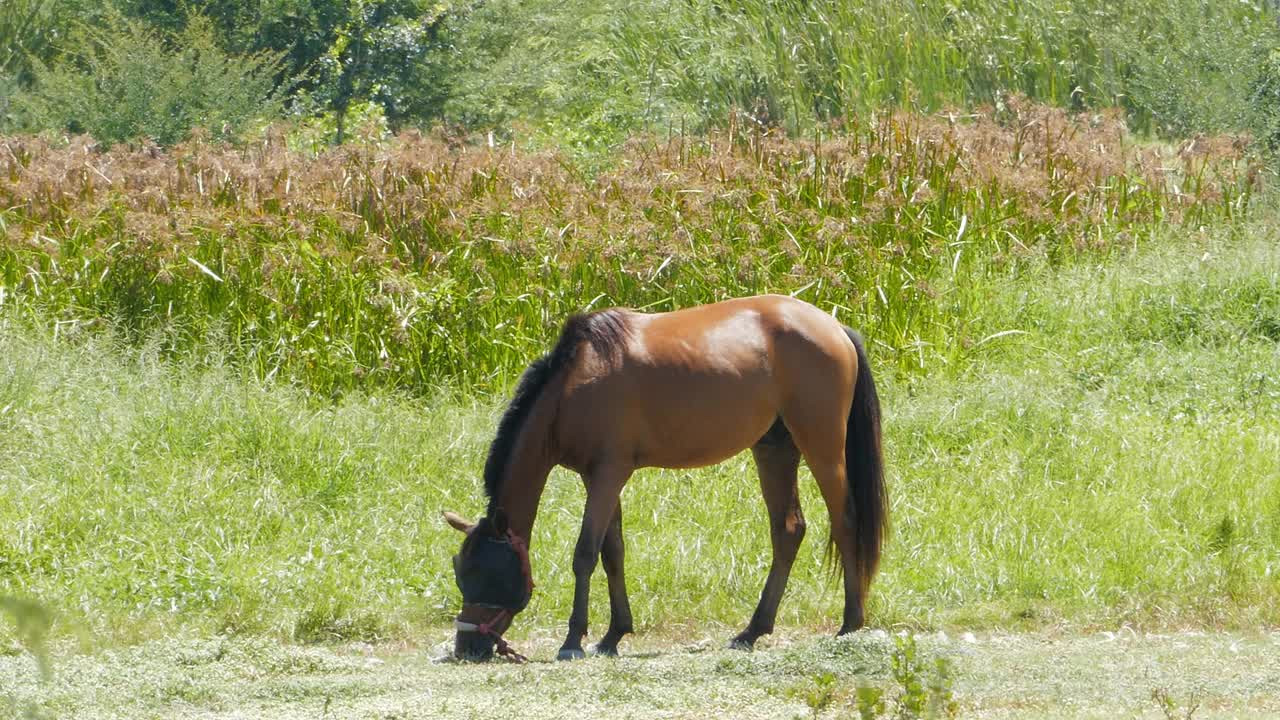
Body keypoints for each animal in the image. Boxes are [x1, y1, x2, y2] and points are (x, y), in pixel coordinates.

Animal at [445, 289, 885, 655]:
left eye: (486, 573)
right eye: (459, 571)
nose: (466, 649)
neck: (573, 386)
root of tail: (836, 328)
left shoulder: (608, 474)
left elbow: (585, 553)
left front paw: (573, 640)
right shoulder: (600, 478)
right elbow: (613, 552)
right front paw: (613, 634)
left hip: (822, 448)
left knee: (845, 522)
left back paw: (850, 622)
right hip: (774, 450)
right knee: (788, 530)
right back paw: (752, 630)